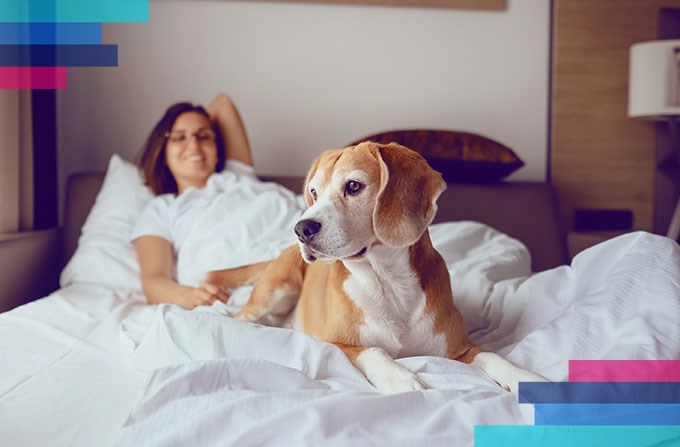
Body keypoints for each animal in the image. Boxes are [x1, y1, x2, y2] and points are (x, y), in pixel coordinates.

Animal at [207, 142, 548, 394]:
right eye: (314, 192)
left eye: (353, 186)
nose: (301, 228)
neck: (386, 282)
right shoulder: (336, 344)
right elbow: (374, 351)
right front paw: (400, 377)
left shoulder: (460, 349)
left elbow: (492, 355)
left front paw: (526, 378)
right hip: (274, 291)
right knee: (238, 316)